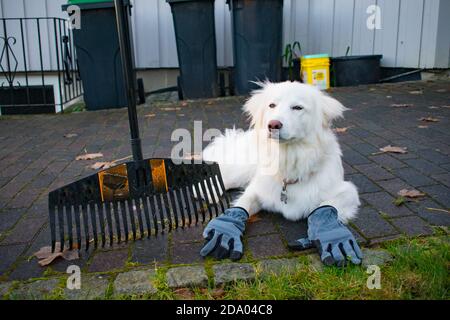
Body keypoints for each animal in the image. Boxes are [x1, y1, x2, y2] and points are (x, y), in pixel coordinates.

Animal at [202, 81, 360, 224]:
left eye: (297, 108)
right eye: (272, 105)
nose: (273, 125)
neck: (287, 156)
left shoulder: (347, 192)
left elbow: (325, 208)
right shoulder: (256, 189)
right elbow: (242, 204)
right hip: (242, 168)